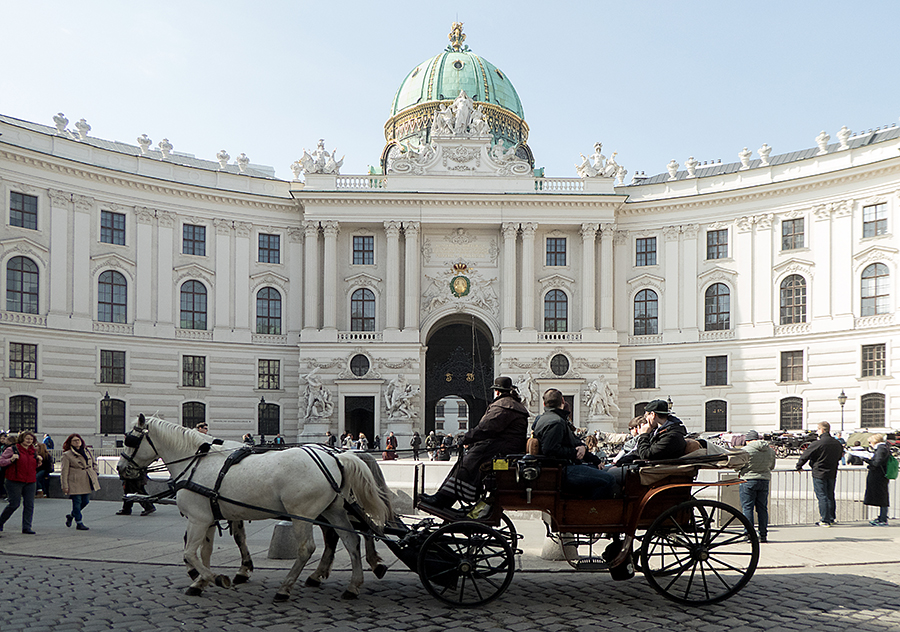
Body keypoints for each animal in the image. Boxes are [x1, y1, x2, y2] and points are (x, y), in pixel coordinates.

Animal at [118, 414, 388, 604]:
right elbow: (206, 551)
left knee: (308, 548)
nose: (121, 468)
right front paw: (202, 582)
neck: (196, 462)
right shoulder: (209, 517)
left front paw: (215, 578)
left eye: (130, 439)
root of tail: (337, 457)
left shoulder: (197, 518)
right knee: (351, 541)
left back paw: (285, 588)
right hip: (334, 510)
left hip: (303, 514)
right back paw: (353, 586)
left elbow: (190, 552)